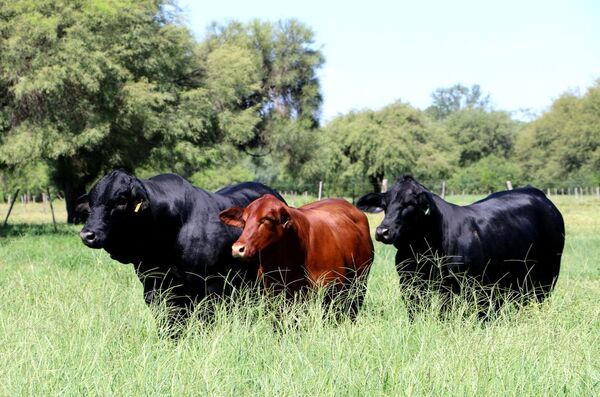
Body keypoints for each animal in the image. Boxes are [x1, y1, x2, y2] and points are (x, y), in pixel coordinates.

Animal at [358, 175, 564, 314]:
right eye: (385, 204)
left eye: (410, 203)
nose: (382, 231)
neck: (421, 250)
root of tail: (536, 193)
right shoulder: (410, 283)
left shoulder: (452, 287)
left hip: (548, 275)